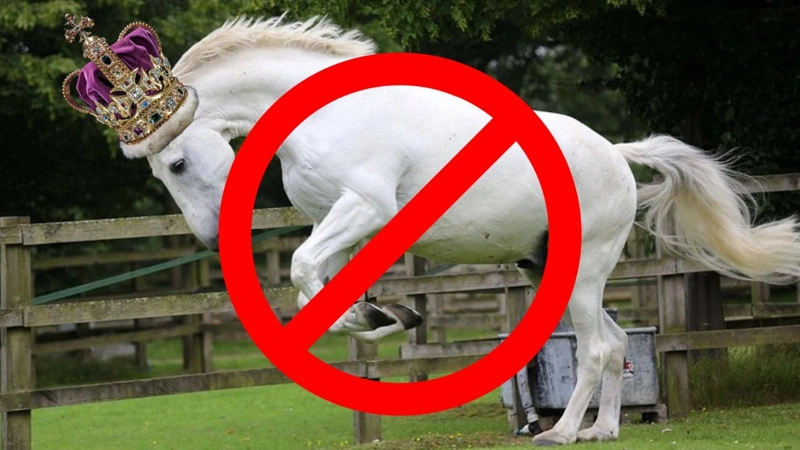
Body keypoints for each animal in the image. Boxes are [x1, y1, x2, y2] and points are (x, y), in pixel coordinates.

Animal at [137, 16, 800, 445]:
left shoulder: (365, 206)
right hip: (547, 269)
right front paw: (382, 316)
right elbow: (315, 287)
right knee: (616, 345)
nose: (208, 238)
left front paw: (381, 317)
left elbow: (303, 269)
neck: (334, 113)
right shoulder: (343, 220)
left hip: (585, 269)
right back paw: (603, 428)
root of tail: (615, 153)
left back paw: (562, 432)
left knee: (596, 349)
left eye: (176, 163)